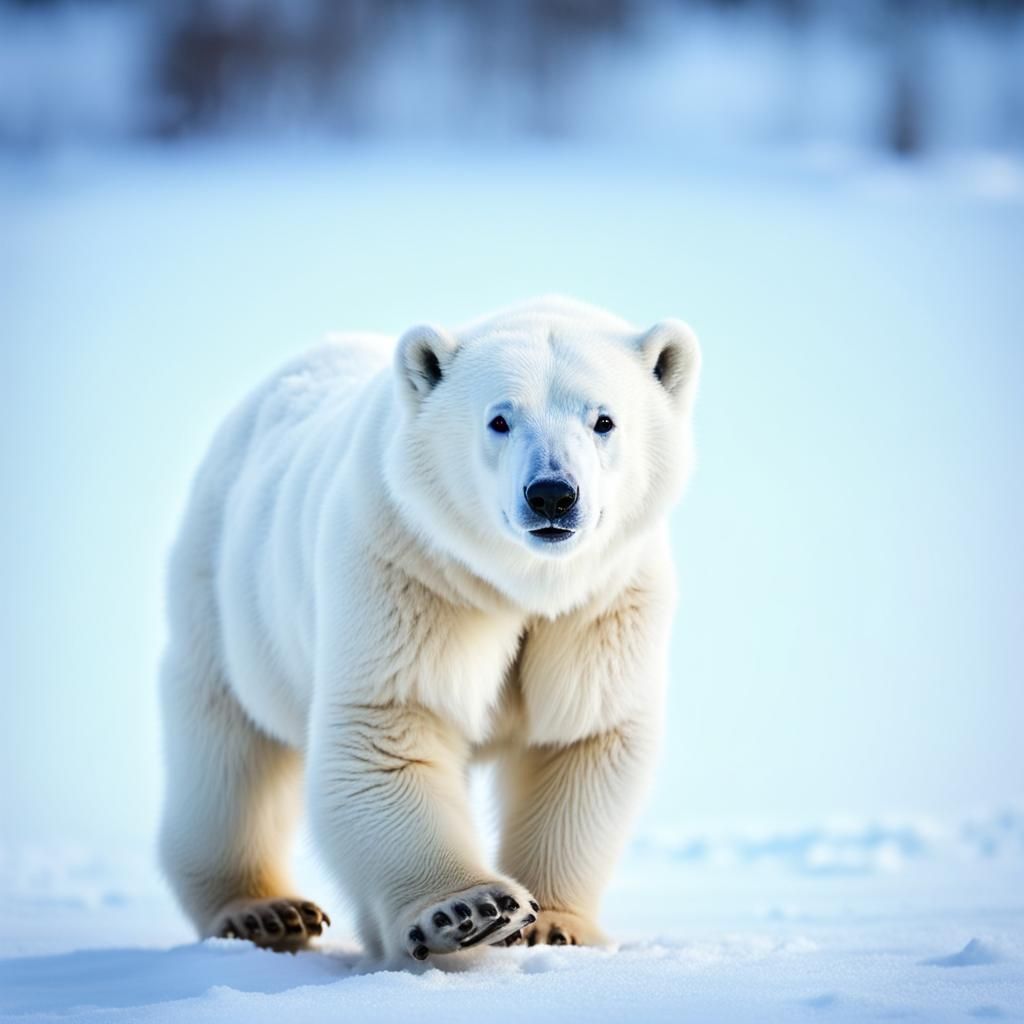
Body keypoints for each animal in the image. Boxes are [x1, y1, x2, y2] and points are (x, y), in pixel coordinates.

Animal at [158, 296, 701, 960]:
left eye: (603, 420)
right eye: (500, 419)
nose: (551, 494)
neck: (520, 583)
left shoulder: (601, 605)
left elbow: (581, 734)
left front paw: (554, 925)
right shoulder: (410, 569)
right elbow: (394, 724)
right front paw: (472, 910)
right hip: (224, 596)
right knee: (227, 753)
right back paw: (265, 911)